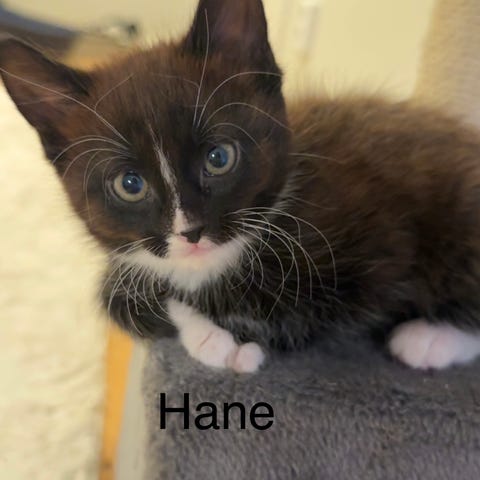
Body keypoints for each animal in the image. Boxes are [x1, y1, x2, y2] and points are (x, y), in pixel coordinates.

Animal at [2, 0, 480, 373]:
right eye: (129, 184)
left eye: (219, 158)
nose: (190, 232)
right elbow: (117, 298)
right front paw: (208, 338)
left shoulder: (379, 244)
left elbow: (302, 314)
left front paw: (228, 341)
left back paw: (427, 340)